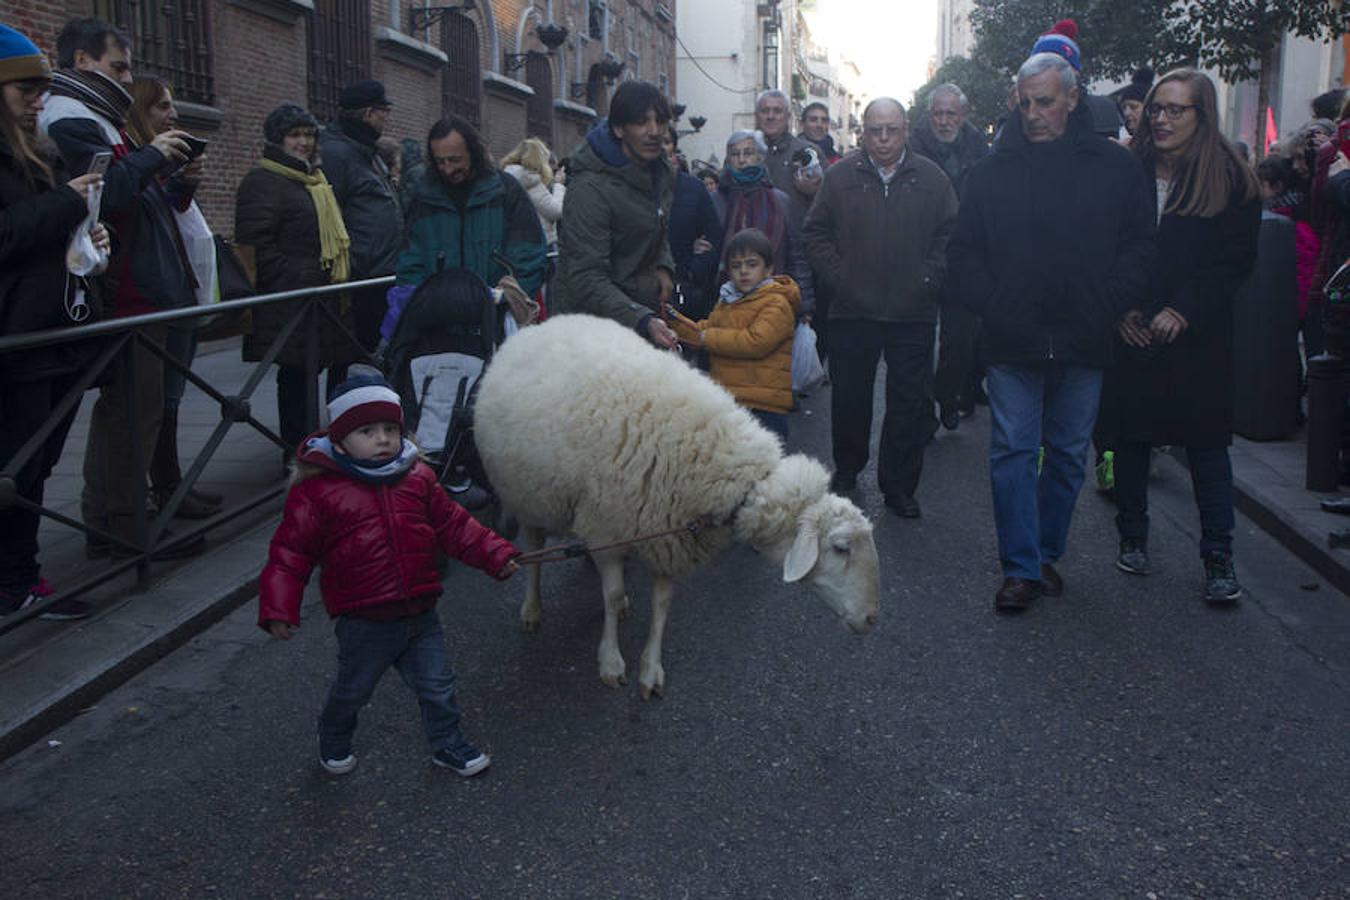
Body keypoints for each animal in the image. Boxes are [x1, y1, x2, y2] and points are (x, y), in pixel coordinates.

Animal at [469, 313, 880, 701]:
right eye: (840, 548)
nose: (872, 619)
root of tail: (538, 326)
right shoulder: (606, 528)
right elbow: (611, 594)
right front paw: (611, 662)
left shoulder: (666, 534)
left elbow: (662, 604)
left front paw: (650, 670)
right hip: (527, 496)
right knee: (535, 548)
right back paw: (532, 608)